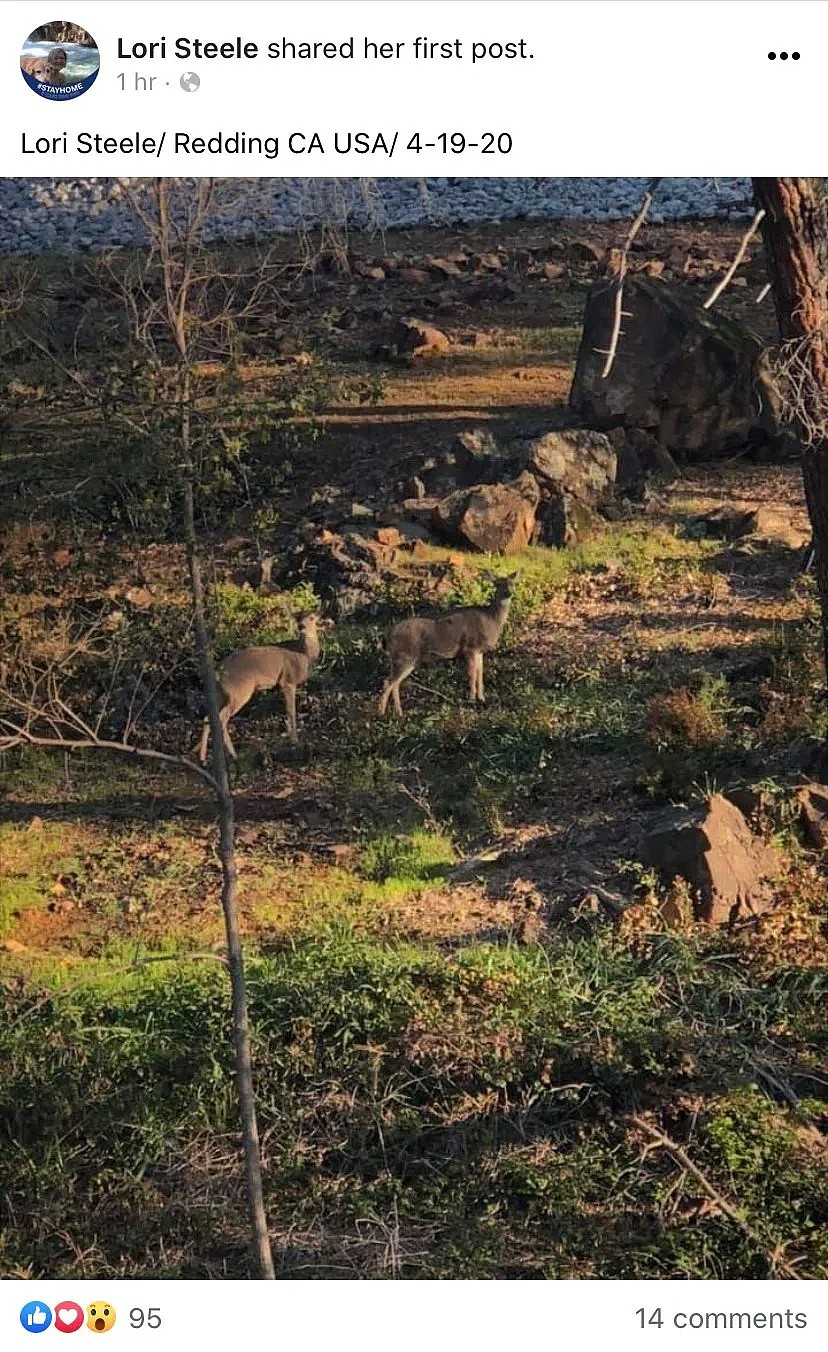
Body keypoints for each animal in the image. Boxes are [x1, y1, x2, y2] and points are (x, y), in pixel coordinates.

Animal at [200, 613, 323, 762]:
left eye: (311, 617)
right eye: (304, 618)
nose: (301, 626)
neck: (303, 655)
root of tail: (219, 671)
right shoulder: (287, 681)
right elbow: (291, 711)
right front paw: (294, 740)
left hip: (221, 694)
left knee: (208, 717)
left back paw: (203, 757)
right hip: (238, 692)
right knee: (222, 718)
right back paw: (233, 755)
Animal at [378, 570, 519, 719]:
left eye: (512, 583)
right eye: (498, 584)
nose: (509, 593)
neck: (491, 619)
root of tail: (388, 634)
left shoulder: (480, 651)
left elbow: (480, 674)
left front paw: (481, 698)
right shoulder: (470, 647)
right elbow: (472, 674)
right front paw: (471, 700)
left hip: (407, 659)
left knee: (395, 683)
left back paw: (398, 713)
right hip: (404, 655)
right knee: (388, 682)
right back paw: (381, 713)